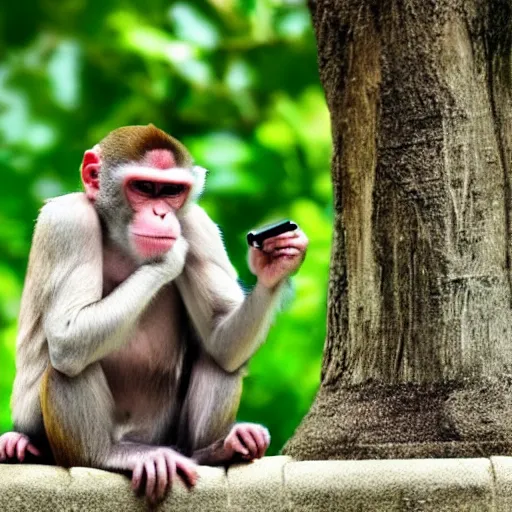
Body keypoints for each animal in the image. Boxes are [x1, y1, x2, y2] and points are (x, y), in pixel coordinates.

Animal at [0, 125, 308, 504]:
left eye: (172, 191)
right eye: (145, 187)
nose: (162, 214)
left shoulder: (196, 222)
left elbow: (222, 340)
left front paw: (275, 262)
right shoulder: (68, 221)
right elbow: (68, 333)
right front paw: (169, 258)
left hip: (167, 433)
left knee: (219, 360)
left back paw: (215, 450)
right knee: (68, 364)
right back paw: (105, 454)